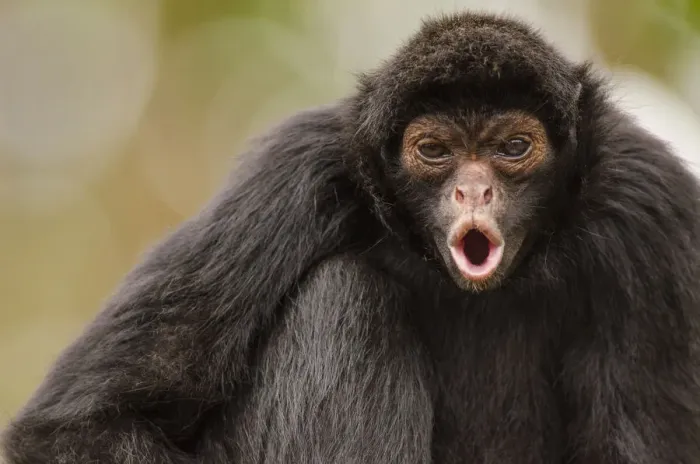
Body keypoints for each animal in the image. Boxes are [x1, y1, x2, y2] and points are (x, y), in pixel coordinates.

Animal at [3, 11, 700, 464]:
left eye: (512, 148)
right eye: (435, 151)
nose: (472, 192)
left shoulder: (652, 204)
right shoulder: (298, 167)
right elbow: (78, 424)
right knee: (345, 294)